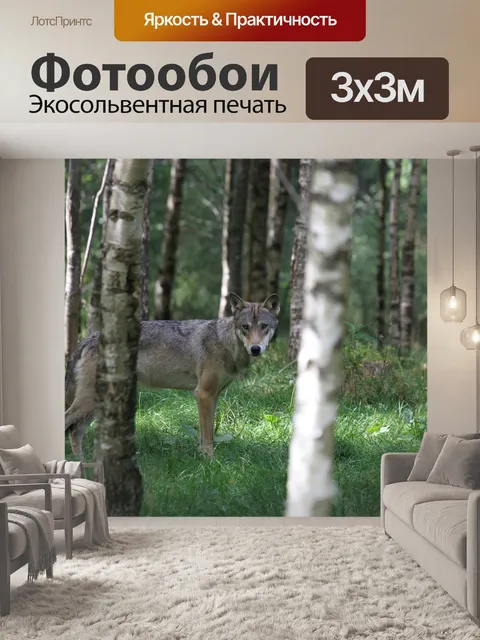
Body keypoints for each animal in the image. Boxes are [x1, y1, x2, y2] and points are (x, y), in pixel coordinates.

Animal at [65, 292, 280, 460]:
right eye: (245, 327)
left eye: (264, 326)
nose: (255, 349)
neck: (225, 342)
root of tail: (88, 338)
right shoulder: (203, 394)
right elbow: (208, 436)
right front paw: (210, 461)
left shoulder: (213, 397)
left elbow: (204, 433)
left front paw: (202, 458)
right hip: (89, 401)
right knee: (69, 424)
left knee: (75, 431)